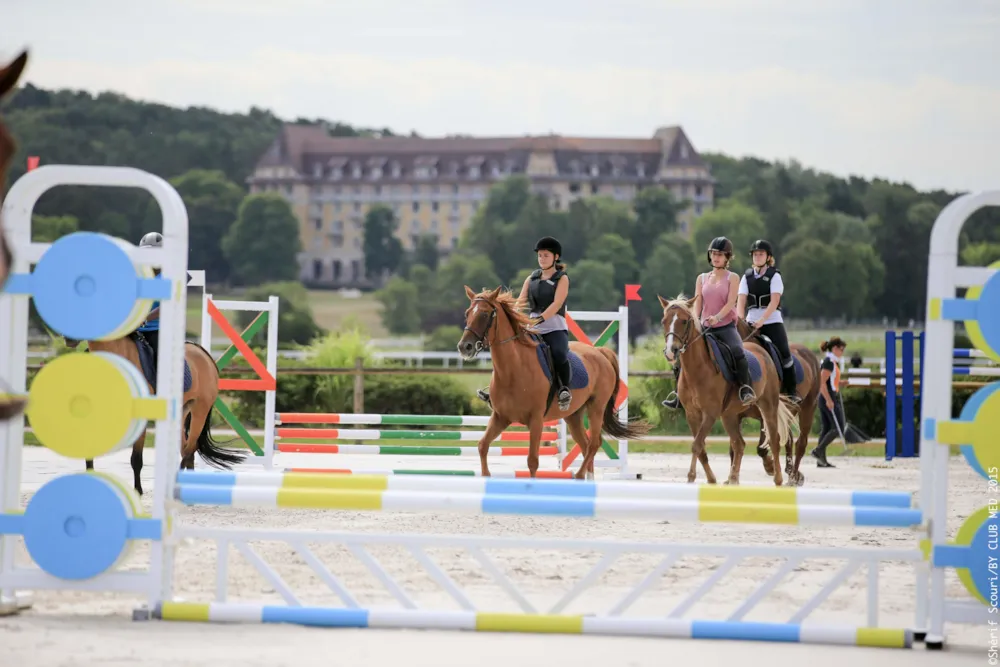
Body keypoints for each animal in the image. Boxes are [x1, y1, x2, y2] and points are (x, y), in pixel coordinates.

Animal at [67, 334, 246, 496]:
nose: (69, 339)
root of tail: (203, 352)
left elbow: (136, 458)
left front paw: (138, 491)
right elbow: (89, 451)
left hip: (199, 411)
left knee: (190, 448)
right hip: (181, 413)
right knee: (186, 449)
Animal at [458, 286, 652, 480]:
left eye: (484, 314)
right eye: (467, 313)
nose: (464, 347)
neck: (513, 369)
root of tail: (599, 351)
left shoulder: (536, 420)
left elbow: (532, 460)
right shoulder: (500, 417)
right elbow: (482, 446)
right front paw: (485, 475)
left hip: (596, 408)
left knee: (594, 444)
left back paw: (580, 475)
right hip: (573, 415)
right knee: (585, 445)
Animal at [656, 294, 796, 488]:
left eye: (684, 321)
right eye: (664, 321)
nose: (671, 351)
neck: (697, 369)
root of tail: (763, 352)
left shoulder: (710, 413)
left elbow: (697, 444)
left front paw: (692, 476)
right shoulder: (692, 414)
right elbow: (700, 446)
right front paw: (710, 479)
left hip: (768, 406)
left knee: (774, 440)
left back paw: (778, 478)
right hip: (729, 415)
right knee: (739, 444)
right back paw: (733, 478)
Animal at [728, 318, 820, 486]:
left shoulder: (766, 413)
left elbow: (763, 447)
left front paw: (770, 466)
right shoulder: (734, 414)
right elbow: (734, 445)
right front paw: (731, 478)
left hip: (808, 408)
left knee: (801, 443)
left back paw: (793, 477)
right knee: (789, 438)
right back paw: (791, 471)